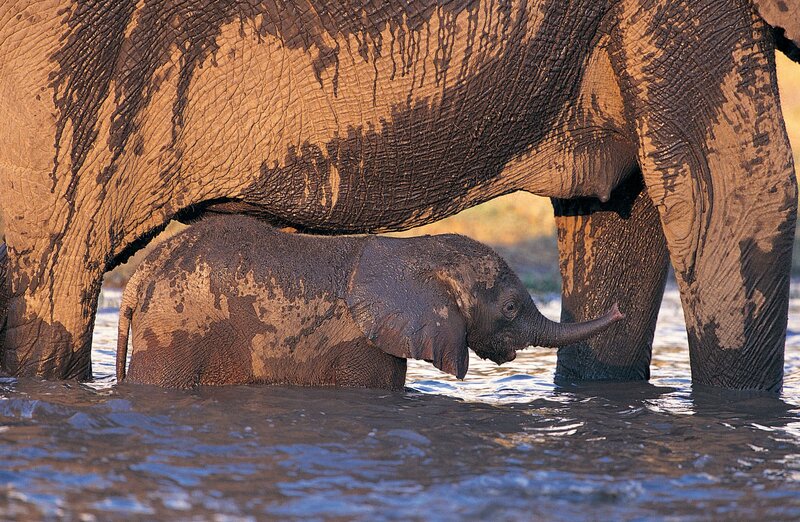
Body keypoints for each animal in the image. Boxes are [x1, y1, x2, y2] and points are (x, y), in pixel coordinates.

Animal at [115, 215, 623, 389]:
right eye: (512, 308)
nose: (619, 310)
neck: (418, 251)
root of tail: (139, 277)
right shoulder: (360, 343)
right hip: (175, 329)